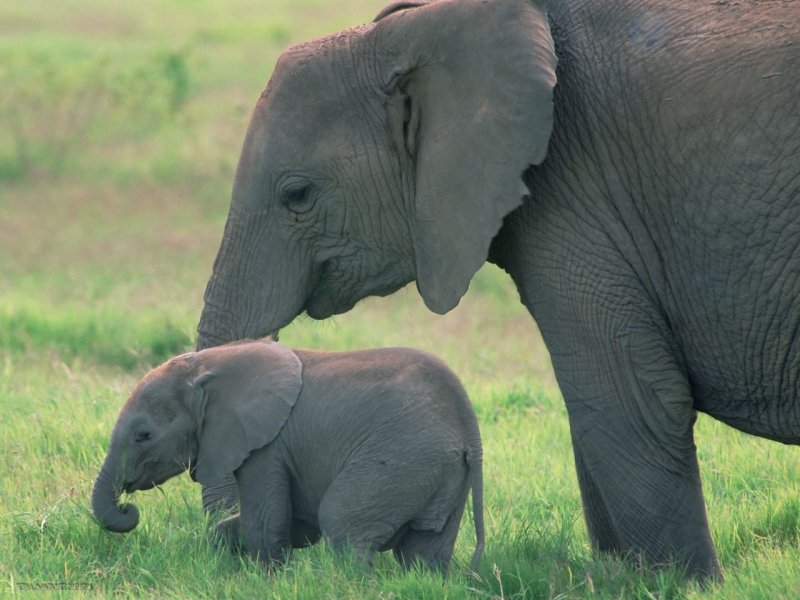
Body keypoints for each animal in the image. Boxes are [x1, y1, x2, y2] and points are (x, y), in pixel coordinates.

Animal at [90, 340, 484, 568]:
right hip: (441, 472)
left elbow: (266, 522)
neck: (207, 366)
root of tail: (468, 427)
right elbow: (288, 524)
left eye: (143, 436)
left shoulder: (267, 445)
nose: (127, 508)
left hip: (403, 458)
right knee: (425, 551)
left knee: (343, 524)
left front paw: (268, 580)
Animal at [195, 0, 800, 584]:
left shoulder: (579, 194)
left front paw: (685, 585)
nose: (226, 535)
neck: (414, 31)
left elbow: (629, 401)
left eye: (297, 195)